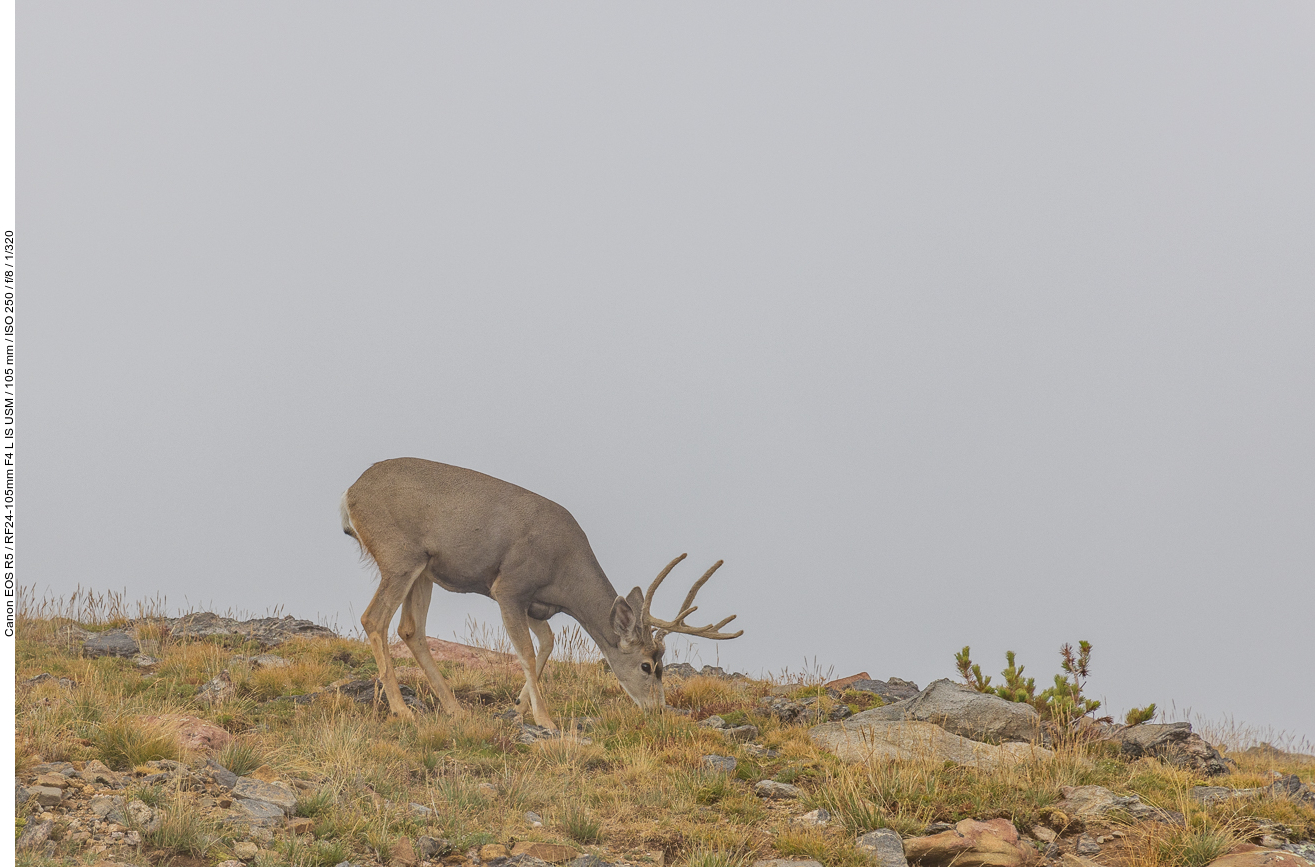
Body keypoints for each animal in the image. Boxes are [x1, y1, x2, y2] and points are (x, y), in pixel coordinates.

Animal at [339, 457, 741, 731]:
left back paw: (454, 708)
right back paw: (402, 709)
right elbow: (528, 652)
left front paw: (519, 706)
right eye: (647, 665)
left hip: (424, 568)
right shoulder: (509, 588)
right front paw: (545, 719)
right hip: (399, 556)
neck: (563, 572)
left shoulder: (537, 605)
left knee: (410, 628)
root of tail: (349, 494)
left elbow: (546, 643)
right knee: (374, 619)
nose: (657, 709)